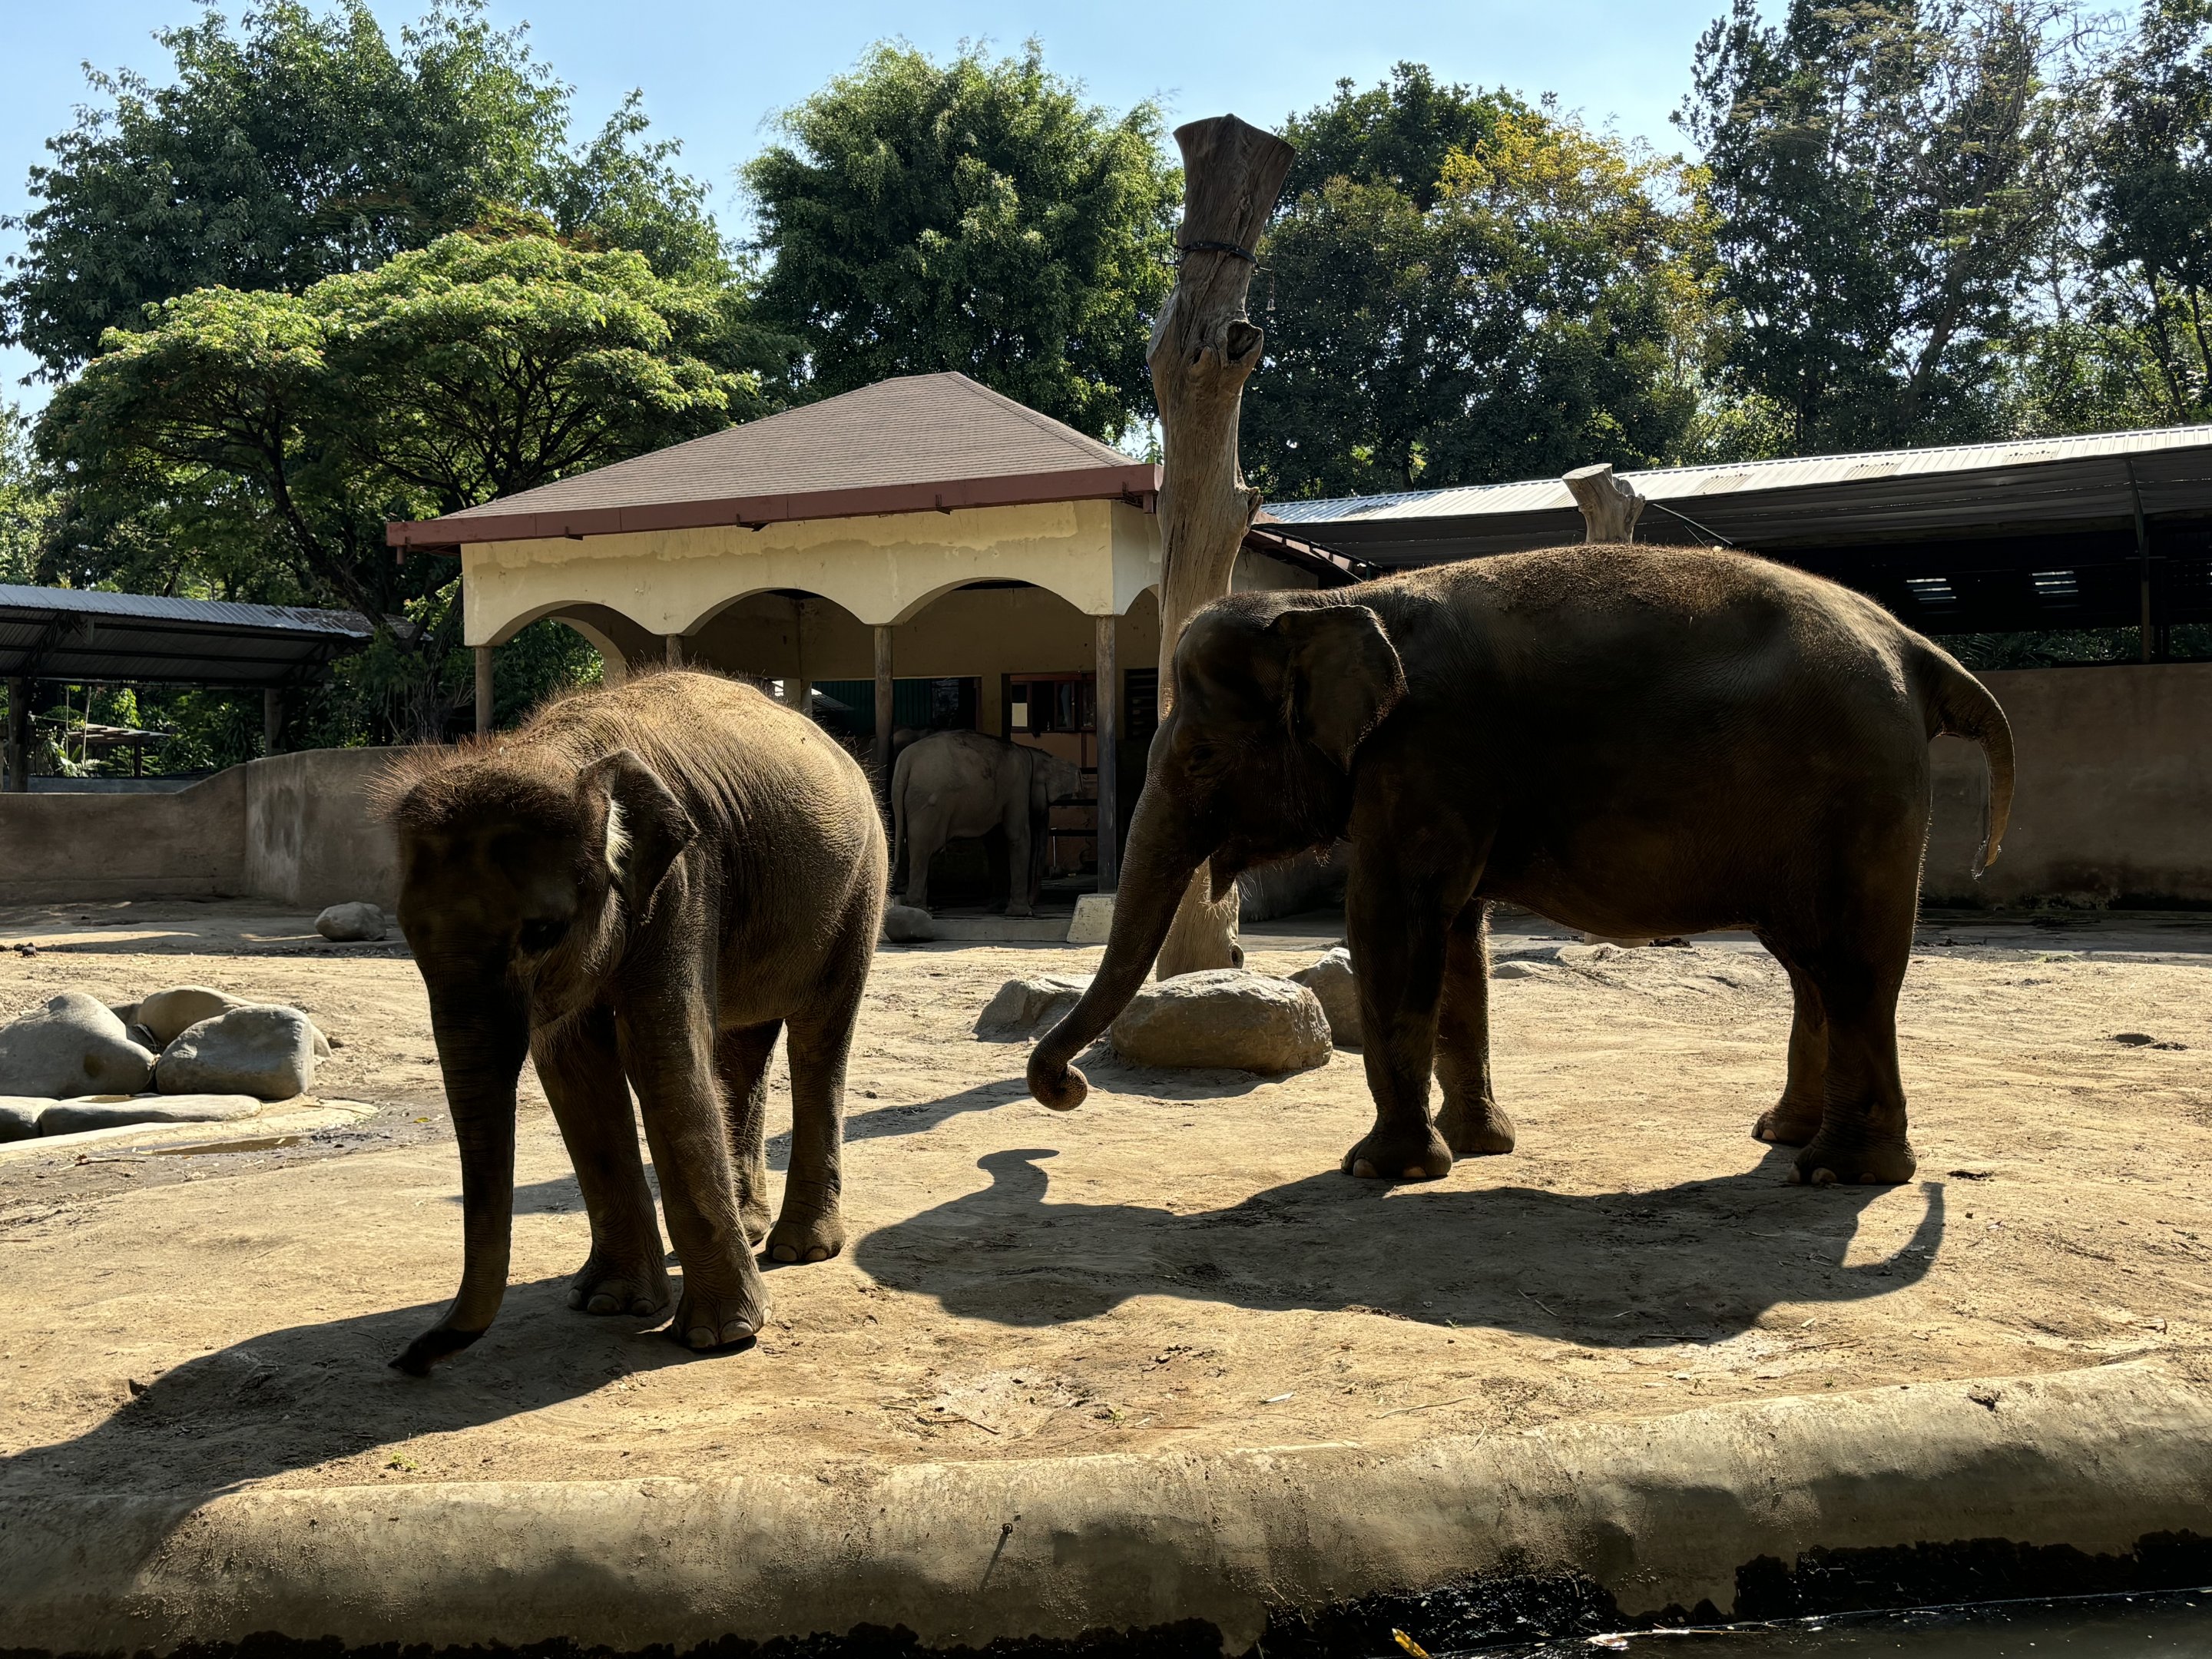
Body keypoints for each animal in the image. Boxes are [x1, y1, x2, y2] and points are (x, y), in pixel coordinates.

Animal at [382, 669, 885, 1374]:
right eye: (407, 934)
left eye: (543, 932)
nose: (410, 1359)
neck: (553, 752)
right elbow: (574, 1069)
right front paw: (608, 1302)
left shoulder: (683, 881)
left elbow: (659, 1052)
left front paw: (721, 1337)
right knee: (742, 1047)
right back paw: (753, 1226)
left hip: (859, 888)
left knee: (818, 1039)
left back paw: (800, 1249)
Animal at [891, 729, 1083, 915]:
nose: (1033, 903)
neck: (1032, 753)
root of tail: (904, 761)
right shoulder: (1018, 787)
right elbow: (1017, 835)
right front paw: (1023, 913)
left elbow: (995, 842)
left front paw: (997, 908)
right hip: (928, 806)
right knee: (924, 850)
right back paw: (921, 910)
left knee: (915, 849)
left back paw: (919, 908)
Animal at [1026, 544, 2014, 1190]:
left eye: (1198, 758)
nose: (1068, 1090)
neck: (1349, 601)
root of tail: (1918, 649)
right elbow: (1459, 939)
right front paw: (1477, 1149)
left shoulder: (1430, 752)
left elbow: (1392, 922)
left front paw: (1378, 1170)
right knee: (1811, 965)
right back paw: (1782, 1138)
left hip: (1860, 792)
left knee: (1850, 965)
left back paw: (1840, 1173)